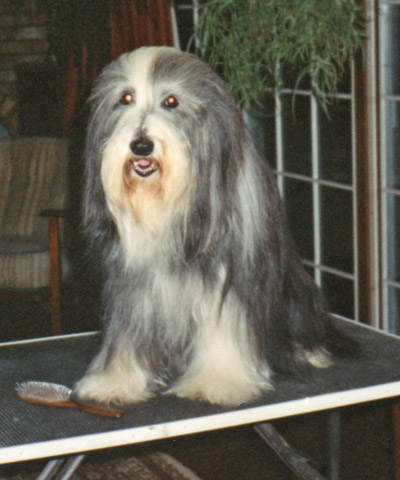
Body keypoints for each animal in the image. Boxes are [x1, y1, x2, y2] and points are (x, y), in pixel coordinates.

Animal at [74, 45, 354, 406]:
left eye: (171, 101)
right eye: (125, 98)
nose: (141, 145)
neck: (167, 207)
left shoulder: (230, 274)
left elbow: (226, 327)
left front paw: (218, 382)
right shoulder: (132, 284)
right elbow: (126, 334)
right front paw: (114, 382)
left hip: (295, 293)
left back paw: (312, 352)